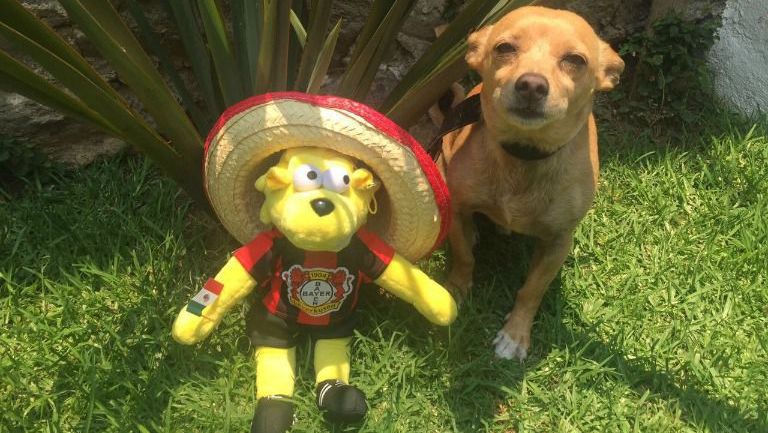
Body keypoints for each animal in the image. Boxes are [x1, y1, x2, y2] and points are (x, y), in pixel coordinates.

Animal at [438, 5, 624, 358]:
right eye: (504, 48)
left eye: (575, 60)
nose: (532, 85)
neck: (525, 155)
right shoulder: (456, 209)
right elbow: (464, 257)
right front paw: (454, 291)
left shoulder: (558, 243)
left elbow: (532, 290)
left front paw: (516, 334)